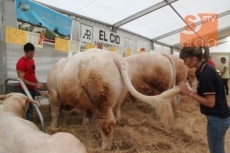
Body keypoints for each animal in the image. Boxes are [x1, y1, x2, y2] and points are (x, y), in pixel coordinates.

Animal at [45, 49, 181, 151]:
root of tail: (114, 56)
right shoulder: (83, 99)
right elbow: (84, 111)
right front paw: (85, 123)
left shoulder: (52, 93)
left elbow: (54, 113)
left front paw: (52, 128)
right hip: (120, 97)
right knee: (117, 115)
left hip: (102, 100)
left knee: (108, 123)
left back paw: (104, 148)